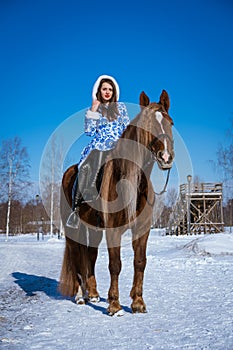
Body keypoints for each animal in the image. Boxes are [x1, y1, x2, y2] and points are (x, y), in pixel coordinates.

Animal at [59, 89, 174, 314]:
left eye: (170, 123)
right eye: (147, 125)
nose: (166, 157)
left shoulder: (142, 229)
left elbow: (140, 262)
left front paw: (138, 302)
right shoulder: (113, 229)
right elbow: (115, 264)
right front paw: (114, 305)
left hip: (93, 229)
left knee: (90, 255)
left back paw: (93, 294)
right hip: (73, 230)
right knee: (77, 256)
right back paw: (80, 296)